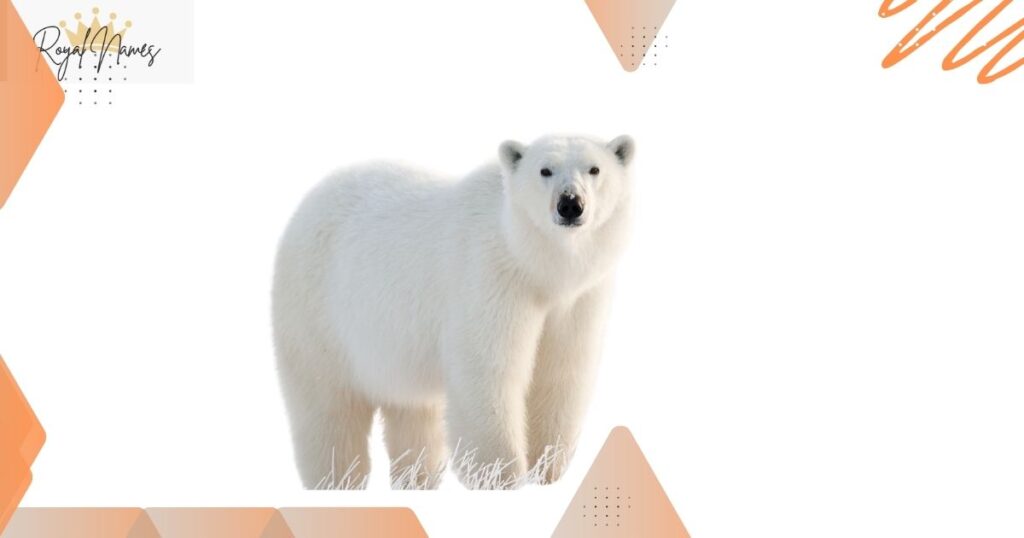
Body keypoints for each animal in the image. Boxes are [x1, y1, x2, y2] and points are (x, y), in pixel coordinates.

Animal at [272, 134, 635, 489]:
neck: (535, 265)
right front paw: (500, 477)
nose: (570, 204)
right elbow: (488, 371)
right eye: (545, 170)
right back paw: (338, 478)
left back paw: (418, 477)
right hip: (318, 311)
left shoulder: (577, 299)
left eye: (594, 169)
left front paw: (546, 471)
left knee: (412, 410)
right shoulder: (490, 277)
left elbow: (560, 373)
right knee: (328, 404)